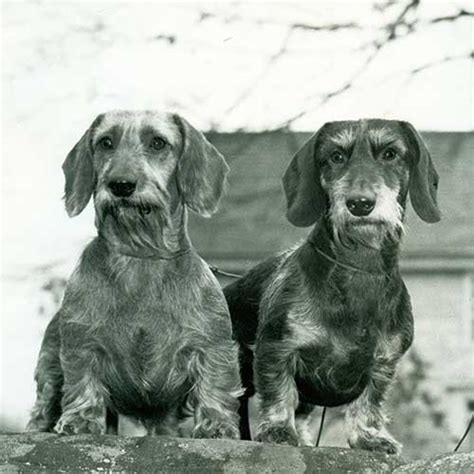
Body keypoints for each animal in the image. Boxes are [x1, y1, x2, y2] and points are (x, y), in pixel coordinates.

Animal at [27, 110, 243, 436]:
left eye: (158, 142)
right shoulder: (82, 346)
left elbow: (214, 383)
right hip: (50, 368)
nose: (120, 184)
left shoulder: (211, 345)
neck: (141, 255)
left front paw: (216, 425)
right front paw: (81, 419)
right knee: (44, 406)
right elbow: (83, 379)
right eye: (105, 142)